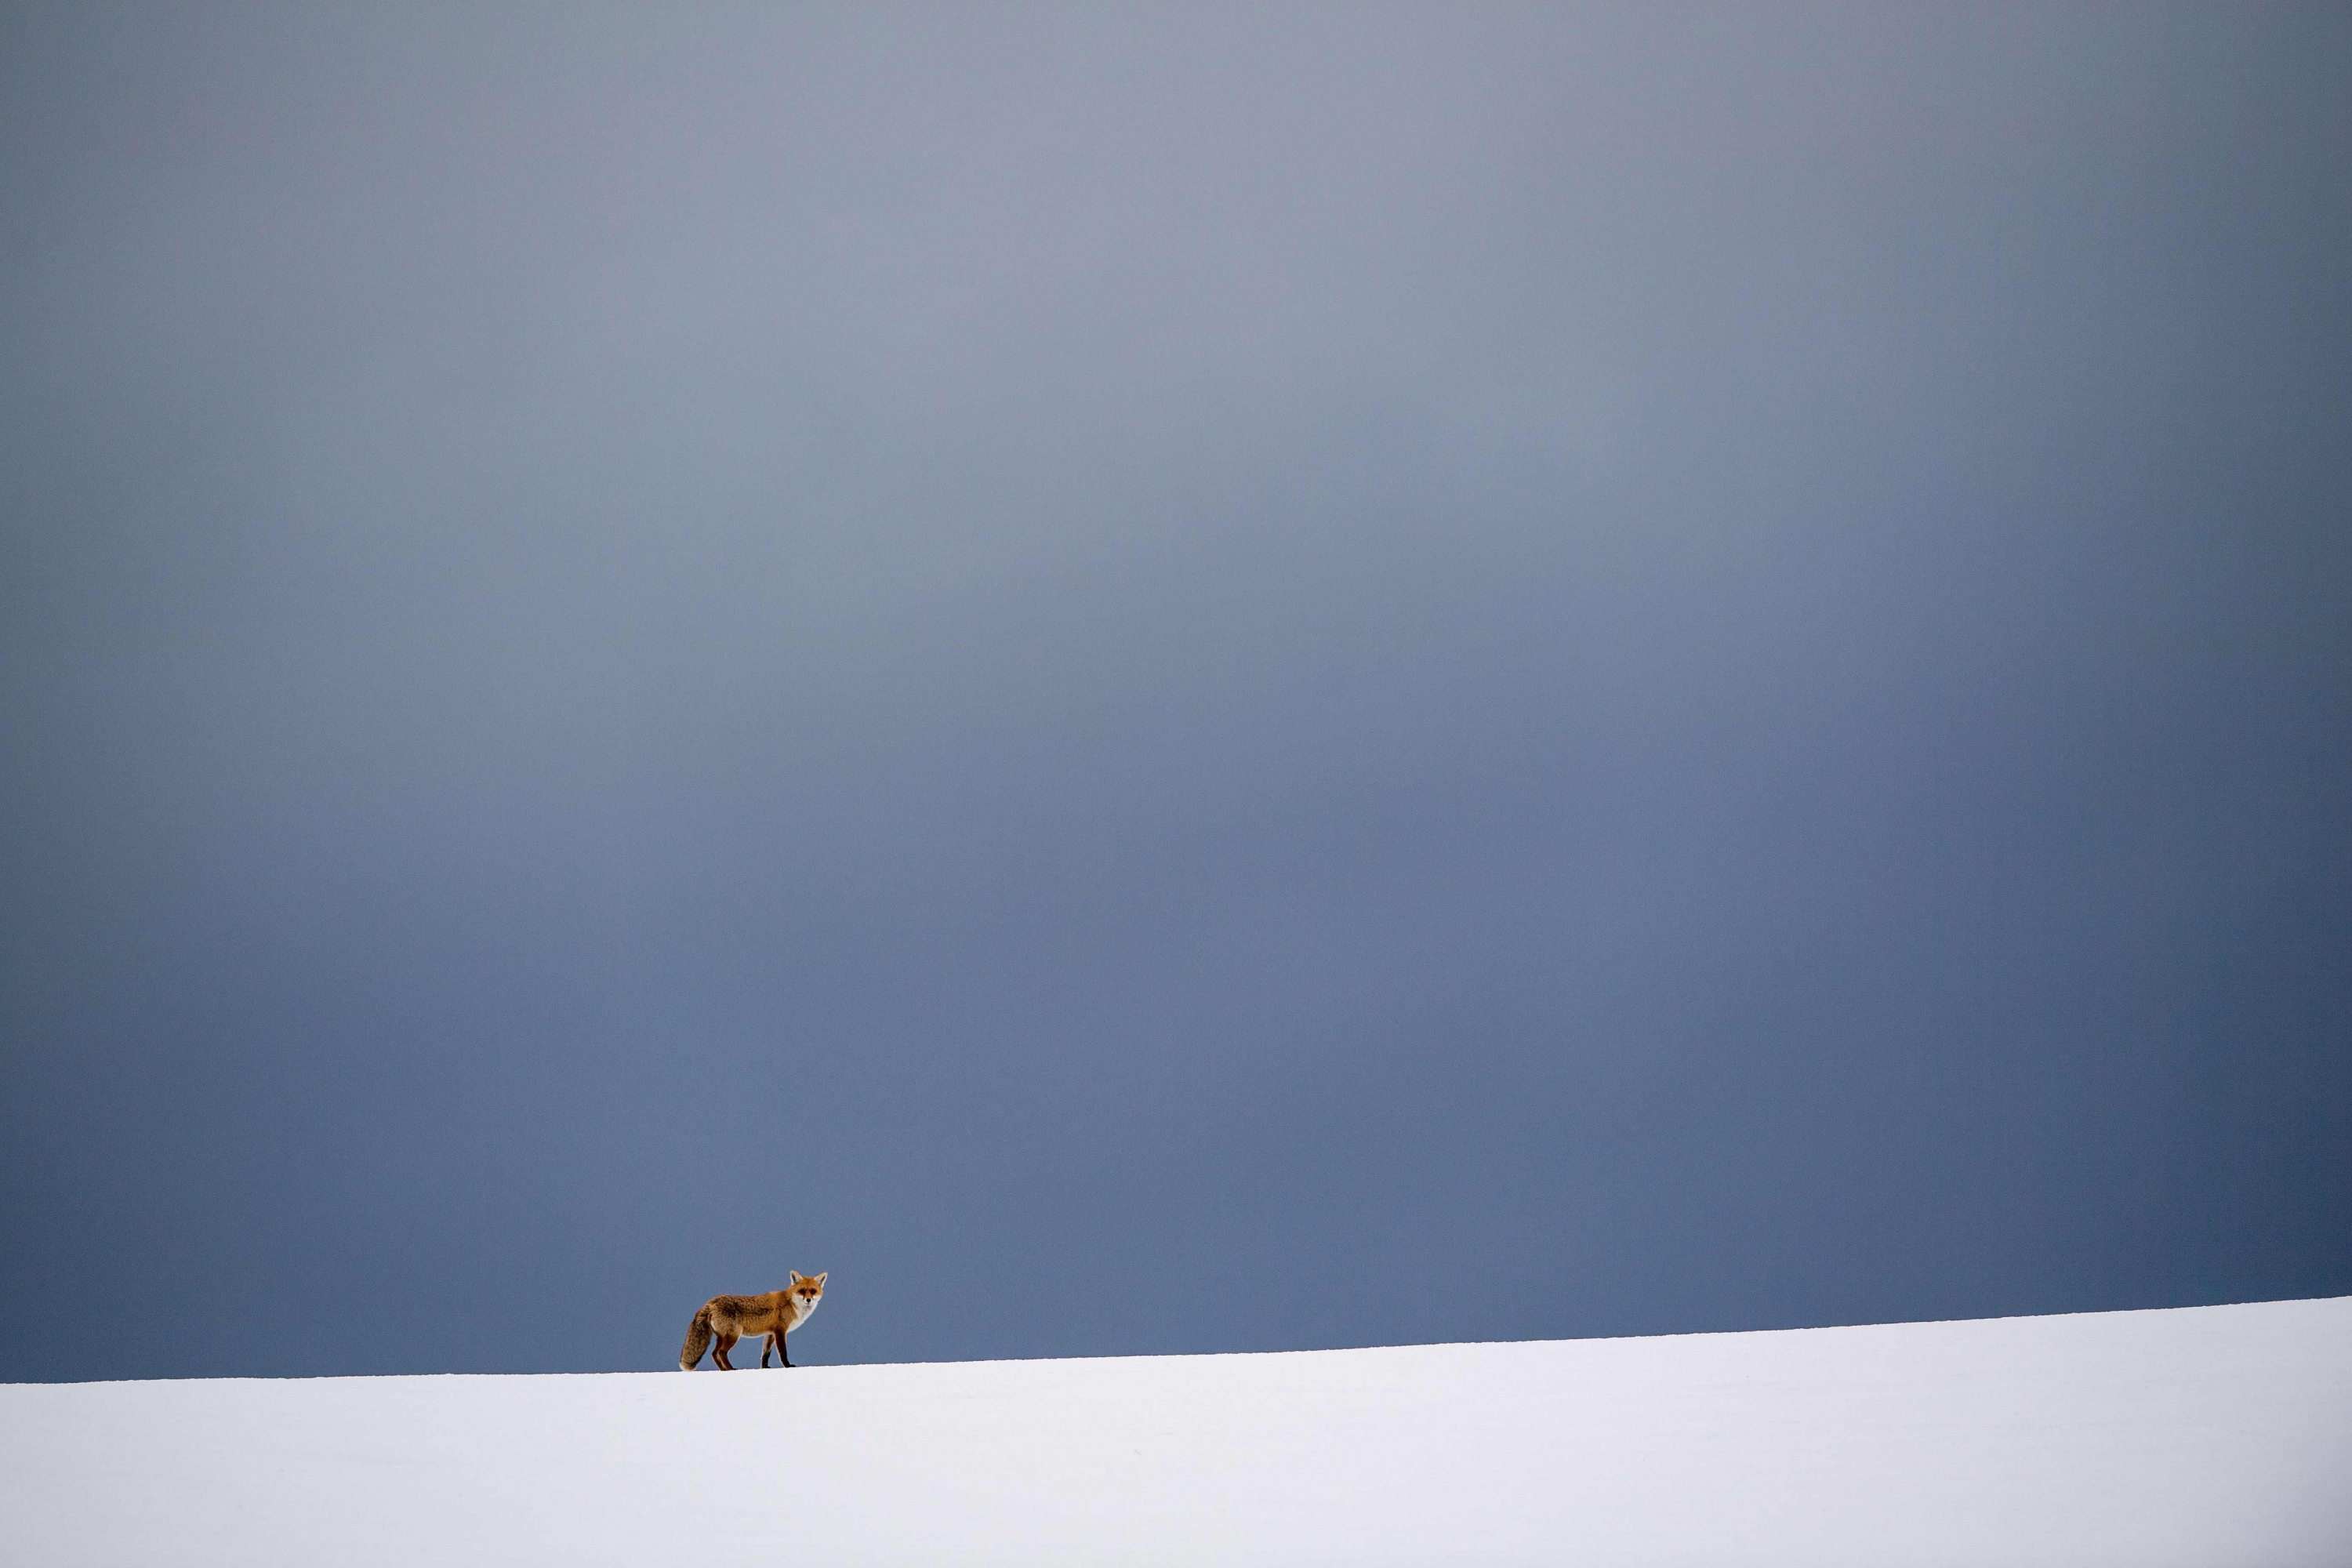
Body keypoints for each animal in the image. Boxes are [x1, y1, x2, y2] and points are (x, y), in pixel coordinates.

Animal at [682, 1279, 828, 1373]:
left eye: (813, 1291)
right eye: (802, 1291)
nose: (808, 1300)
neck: (791, 1305)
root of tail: (710, 1303)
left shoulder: (770, 1333)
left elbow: (765, 1354)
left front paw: (764, 1368)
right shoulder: (780, 1331)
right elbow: (783, 1352)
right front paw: (787, 1366)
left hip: (722, 1337)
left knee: (714, 1353)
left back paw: (723, 1370)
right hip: (734, 1335)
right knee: (722, 1352)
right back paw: (730, 1369)